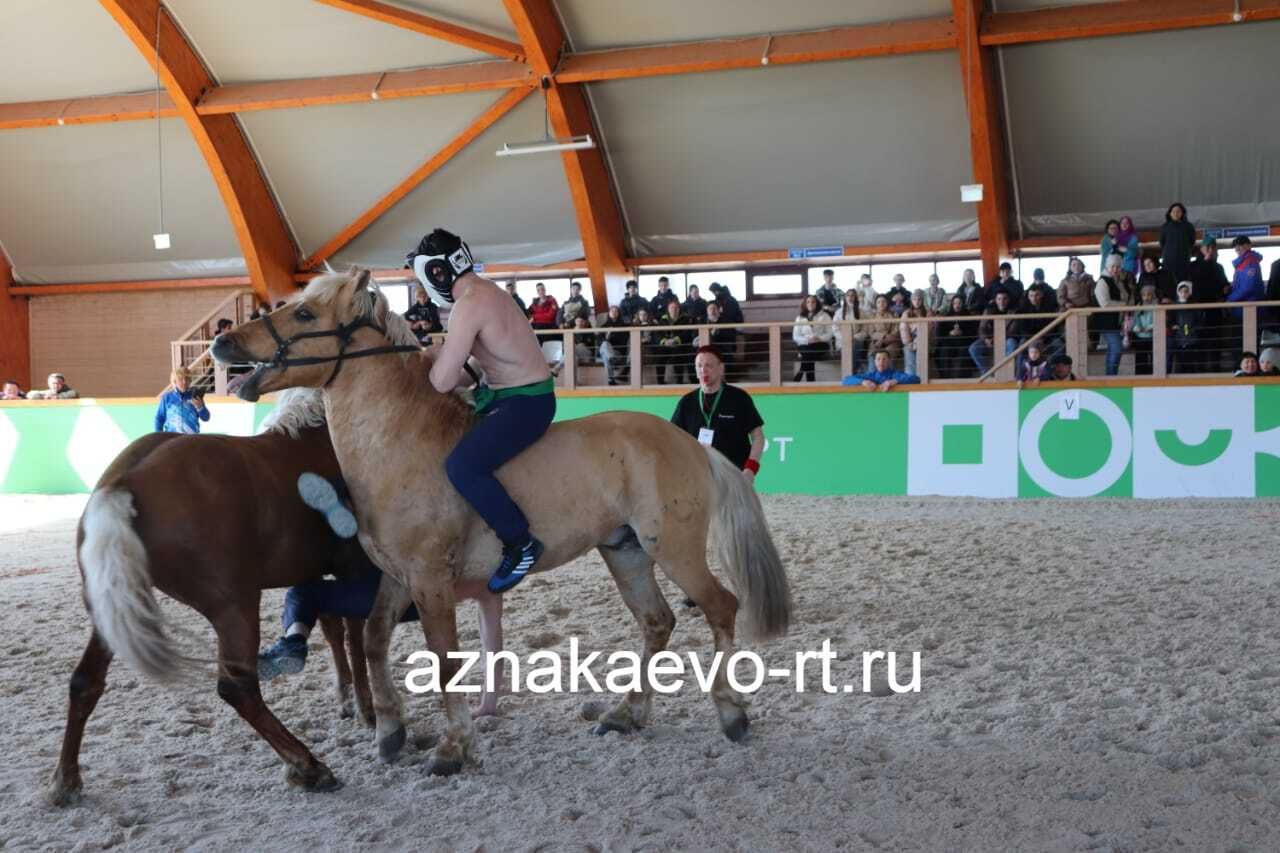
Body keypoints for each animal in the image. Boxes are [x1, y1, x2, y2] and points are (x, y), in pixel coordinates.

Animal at [46, 389, 504, 799]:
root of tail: (126, 482)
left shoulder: (324, 573)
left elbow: (334, 631)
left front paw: (346, 699)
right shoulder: (358, 571)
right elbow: (356, 638)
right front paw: (368, 709)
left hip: (114, 607)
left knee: (85, 681)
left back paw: (66, 780)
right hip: (234, 607)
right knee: (238, 689)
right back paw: (309, 766)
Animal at [212, 268, 788, 773]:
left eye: (305, 313)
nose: (222, 345)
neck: (399, 442)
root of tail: (690, 443)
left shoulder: (430, 580)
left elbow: (446, 663)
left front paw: (453, 748)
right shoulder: (398, 577)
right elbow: (374, 642)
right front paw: (390, 733)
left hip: (674, 548)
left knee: (720, 607)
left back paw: (731, 713)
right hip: (625, 551)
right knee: (657, 622)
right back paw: (626, 715)